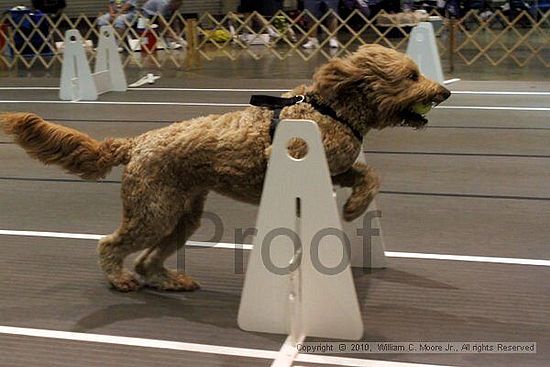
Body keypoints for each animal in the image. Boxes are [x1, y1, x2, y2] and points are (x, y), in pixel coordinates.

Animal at [2, 44, 450, 292]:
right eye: (411, 75)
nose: (444, 92)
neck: (331, 108)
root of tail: (136, 143)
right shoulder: (295, 157)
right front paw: (353, 209)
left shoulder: (339, 167)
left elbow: (369, 176)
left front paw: (355, 207)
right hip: (153, 211)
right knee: (109, 246)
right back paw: (119, 279)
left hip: (182, 215)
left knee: (148, 260)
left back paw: (167, 280)